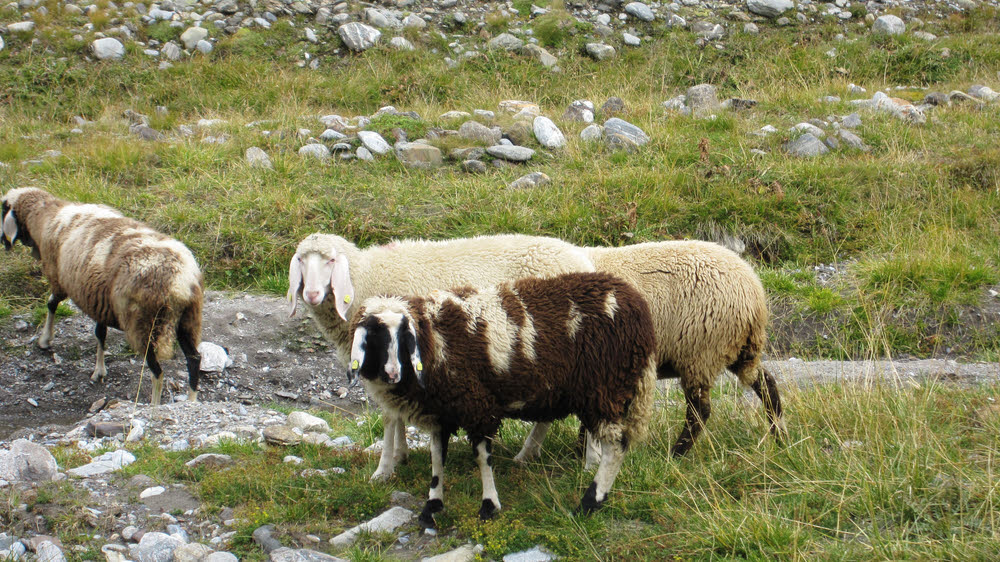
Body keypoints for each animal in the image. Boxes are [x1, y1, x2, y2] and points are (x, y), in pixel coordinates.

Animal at [0, 187, 205, 402]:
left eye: (3, 210)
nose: (2, 240)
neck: (46, 216)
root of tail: (180, 281)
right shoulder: (97, 298)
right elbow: (100, 333)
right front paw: (99, 370)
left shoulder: (59, 279)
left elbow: (51, 303)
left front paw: (45, 339)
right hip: (189, 319)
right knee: (194, 360)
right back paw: (191, 401)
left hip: (143, 325)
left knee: (157, 372)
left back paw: (154, 405)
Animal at [286, 231, 592, 476]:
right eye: (301, 260)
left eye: (330, 261)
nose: (311, 294)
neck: (366, 276)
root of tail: (584, 260)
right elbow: (394, 414)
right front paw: (400, 456)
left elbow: (389, 417)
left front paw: (384, 468)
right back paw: (529, 454)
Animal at [348, 270, 660, 524]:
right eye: (374, 336)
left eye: (403, 336)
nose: (392, 374)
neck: (434, 339)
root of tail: (638, 306)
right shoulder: (441, 412)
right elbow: (437, 459)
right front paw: (432, 507)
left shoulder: (477, 406)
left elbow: (482, 457)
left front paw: (489, 506)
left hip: (606, 387)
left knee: (616, 447)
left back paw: (589, 503)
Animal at [516, 238, 788, 462]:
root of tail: (754, 291)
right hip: (735, 350)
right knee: (766, 383)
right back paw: (780, 437)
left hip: (700, 350)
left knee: (700, 411)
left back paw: (675, 454)